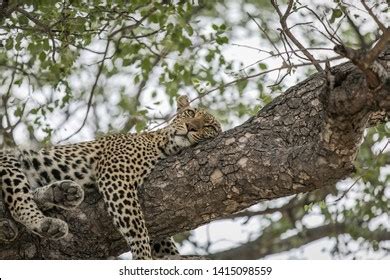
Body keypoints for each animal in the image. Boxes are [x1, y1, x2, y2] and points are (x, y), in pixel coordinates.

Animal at [0, 95, 221, 260]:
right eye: (190, 113)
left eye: (209, 127)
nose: (191, 127)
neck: (165, 146)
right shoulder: (115, 177)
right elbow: (137, 228)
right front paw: (142, 257)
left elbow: (163, 242)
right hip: (9, 159)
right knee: (19, 202)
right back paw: (47, 223)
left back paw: (61, 193)